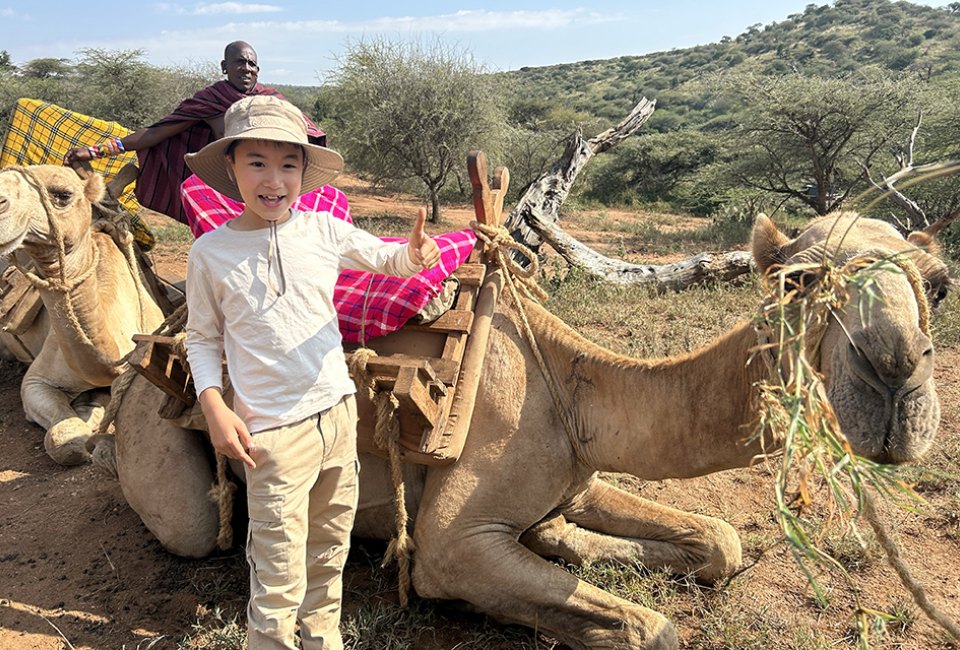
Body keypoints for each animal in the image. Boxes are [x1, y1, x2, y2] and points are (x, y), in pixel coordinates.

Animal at [105, 210, 944, 644]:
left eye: (937, 283)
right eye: (800, 280)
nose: (894, 378)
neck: (573, 387)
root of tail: (142, 354)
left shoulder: (575, 471)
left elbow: (720, 541)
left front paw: (574, 544)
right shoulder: (451, 545)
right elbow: (651, 629)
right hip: (172, 473)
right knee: (195, 523)